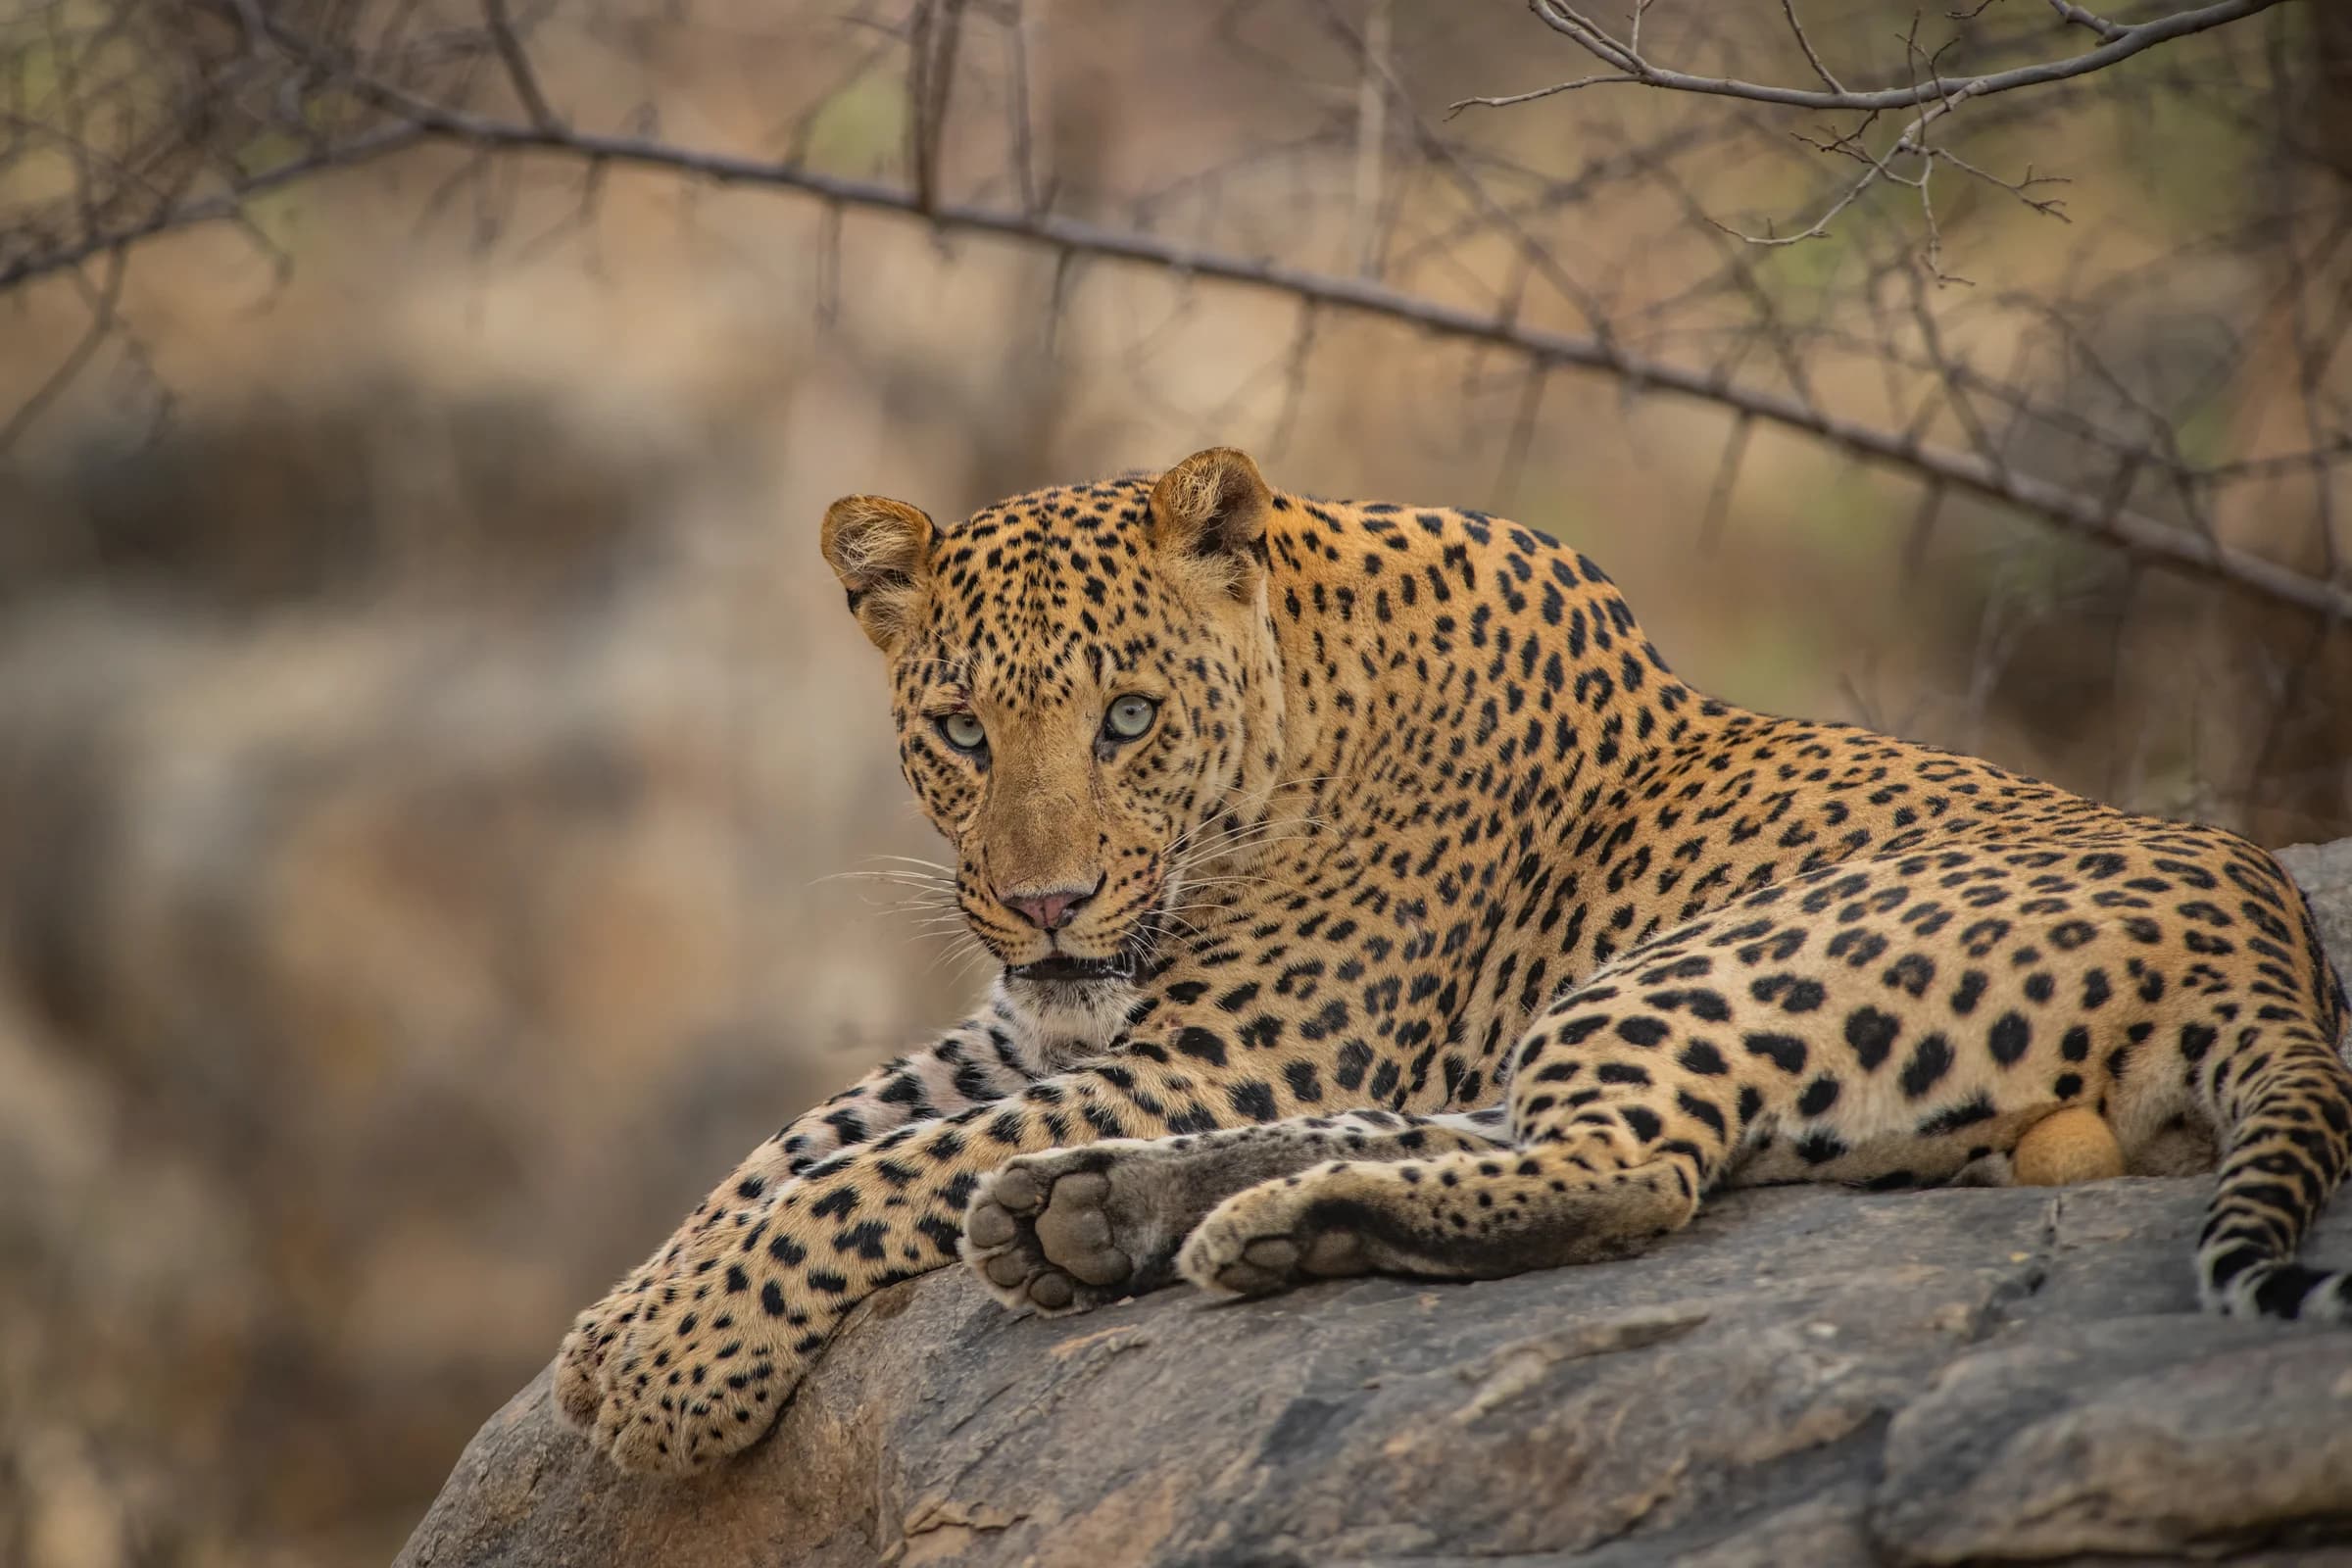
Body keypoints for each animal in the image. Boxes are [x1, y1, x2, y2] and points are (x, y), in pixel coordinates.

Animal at [554, 445, 2352, 1475]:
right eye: (959, 733)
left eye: (1126, 719)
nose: (1047, 903)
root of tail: (2273, 930)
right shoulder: (1048, 1030)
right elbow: (801, 1140)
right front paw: (615, 1322)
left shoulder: (1218, 1050)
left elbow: (865, 1175)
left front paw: (672, 1368)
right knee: (1494, 1136)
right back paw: (1106, 1214)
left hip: (1704, 968)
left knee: (1629, 1169)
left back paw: (1219, 1228)